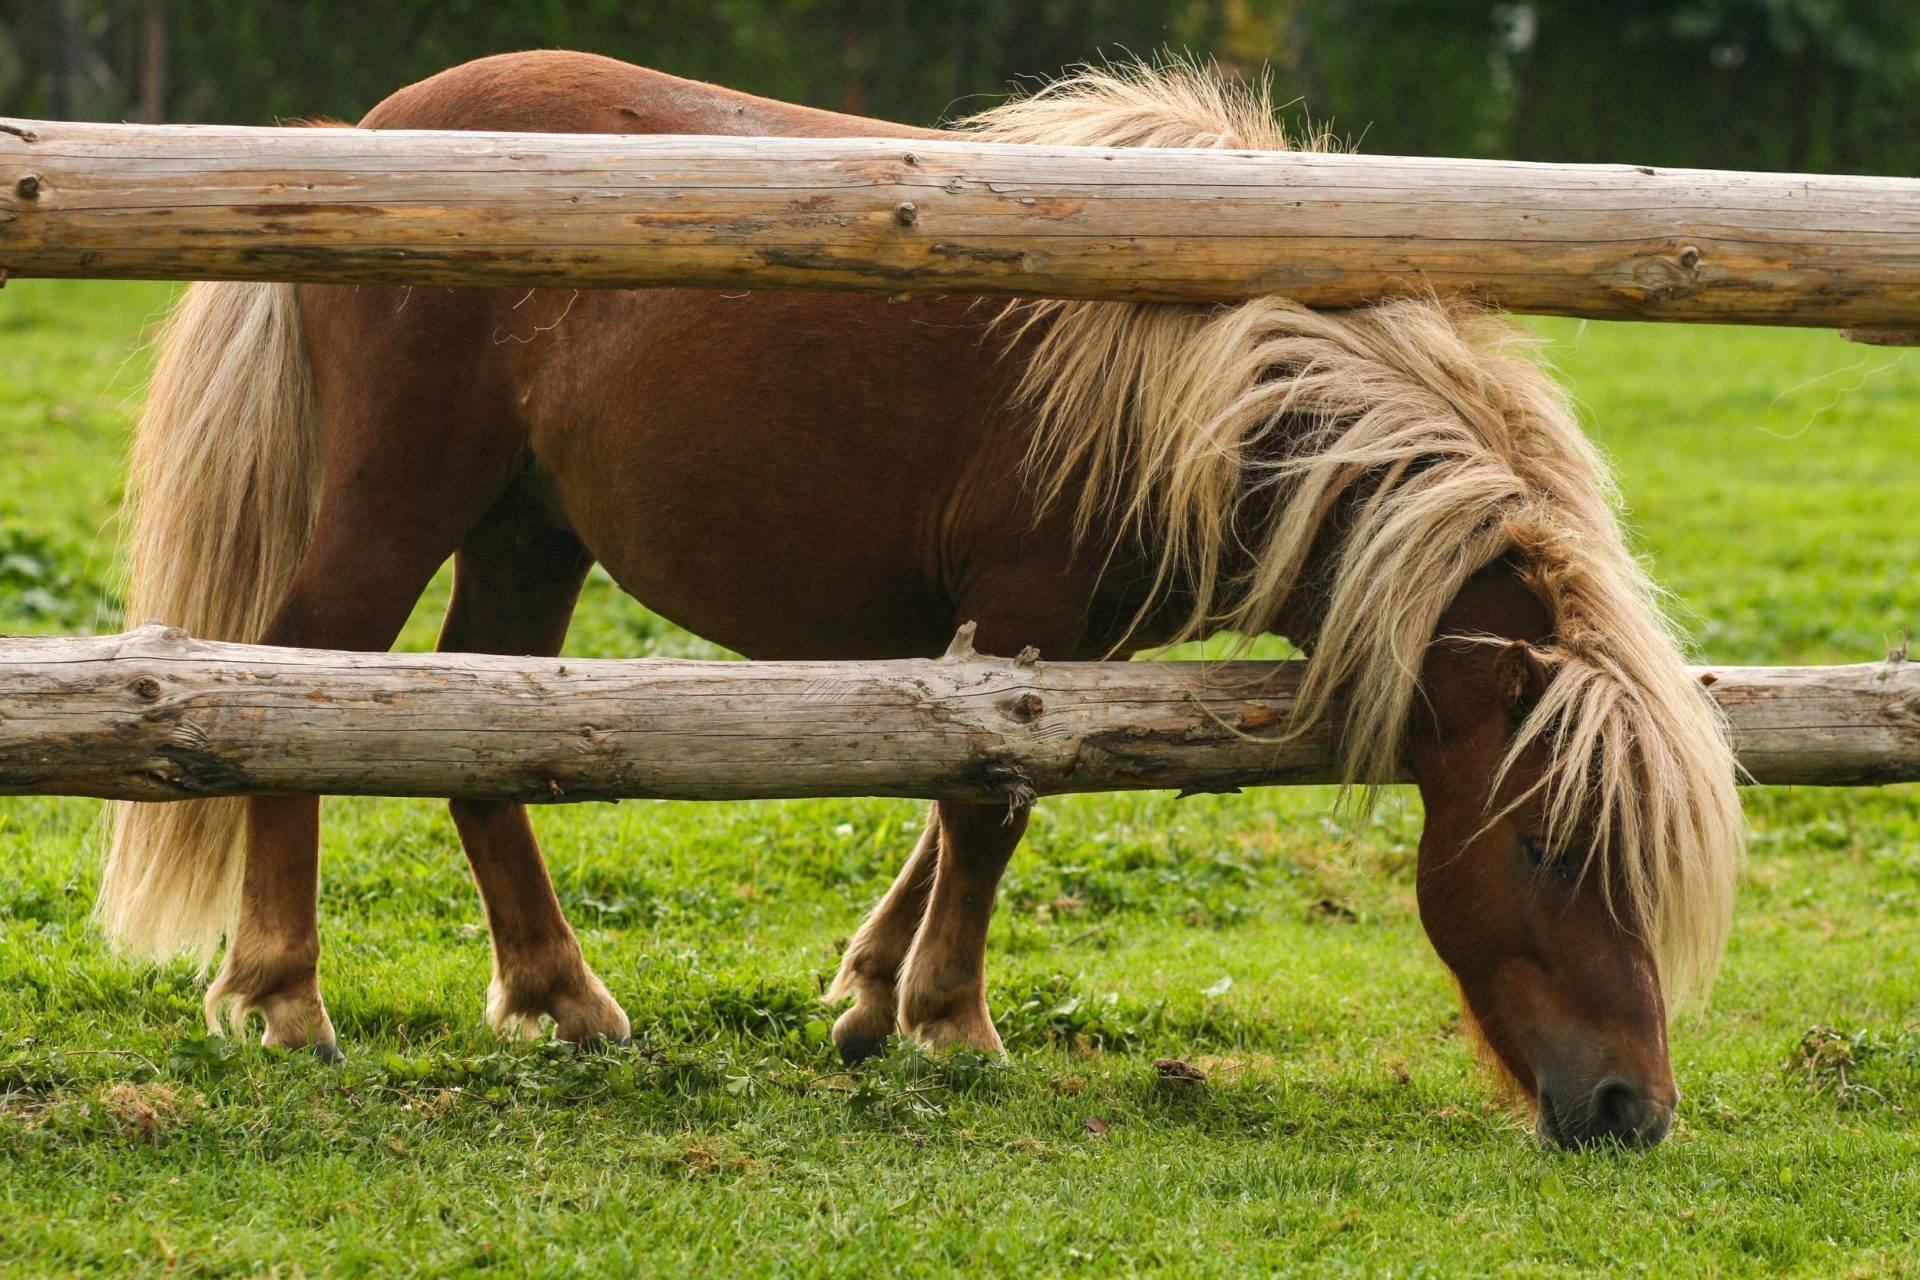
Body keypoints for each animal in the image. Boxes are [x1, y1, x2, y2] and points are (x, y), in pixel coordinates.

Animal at [97, 50, 1743, 1151]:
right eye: (1547, 846)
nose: (1632, 1105)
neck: (1199, 379)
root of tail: (360, 137)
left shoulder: (1041, 647)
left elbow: (965, 796)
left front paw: (871, 998)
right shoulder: (1025, 616)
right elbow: (984, 809)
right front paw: (951, 1018)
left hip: (526, 534)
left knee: (487, 742)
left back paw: (564, 996)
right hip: (402, 504)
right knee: (303, 684)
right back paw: (283, 991)